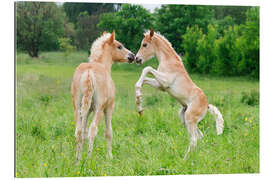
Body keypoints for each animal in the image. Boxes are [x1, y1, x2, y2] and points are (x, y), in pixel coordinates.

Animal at [71, 31, 135, 160]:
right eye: (119, 46)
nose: (132, 56)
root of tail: (89, 72)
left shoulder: (87, 110)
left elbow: (83, 132)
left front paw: (80, 154)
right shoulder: (109, 107)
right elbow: (108, 132)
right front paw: (110, 156)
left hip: (78, 107)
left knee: (79, 131)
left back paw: (77, 159)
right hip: (99, 109)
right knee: (93, 130)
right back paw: (89, 158)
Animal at [135, 30, 224, 160]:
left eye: (145, 44)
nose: (137, 59)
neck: (169, 61)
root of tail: (206, 105)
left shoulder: (165, 81)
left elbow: (147, 68)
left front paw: (138, 98)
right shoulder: (161, 85)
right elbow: (145, 78)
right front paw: (139, 102)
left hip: (190, 118)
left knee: (194, 140)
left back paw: (184, 159)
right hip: (185, 118)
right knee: (200, 136)